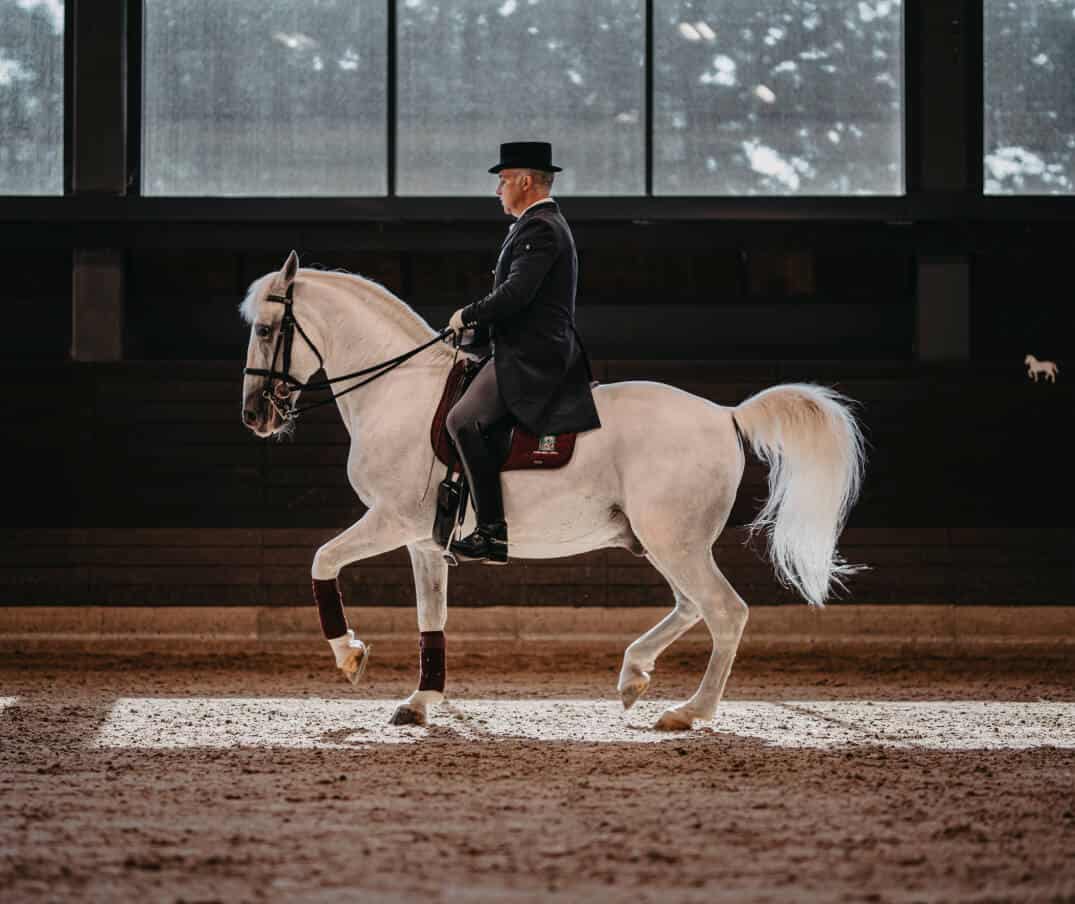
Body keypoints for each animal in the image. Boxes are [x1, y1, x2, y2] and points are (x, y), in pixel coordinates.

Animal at [240, 251, 866, 731]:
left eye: (266, 330)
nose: (254, 416)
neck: (397, 392)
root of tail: (723, 414)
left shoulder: (392, 521)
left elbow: (323, 561)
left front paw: (350, 655)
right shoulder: (423, 540)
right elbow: (430, 617)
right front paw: (420, 702)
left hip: (676, 543)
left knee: (725, 613)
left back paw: (688, 712)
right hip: (667, 542)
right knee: (692, 606)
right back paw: (634, 676)